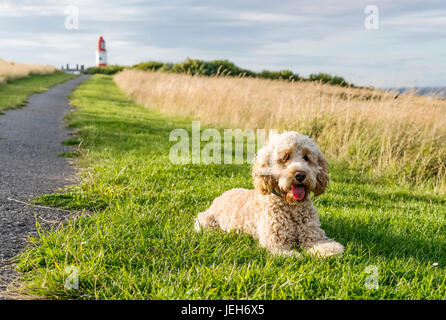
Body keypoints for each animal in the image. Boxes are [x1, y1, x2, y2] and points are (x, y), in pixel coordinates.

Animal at [193, 131, 344, 258]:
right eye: (285, 157)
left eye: (306, 157)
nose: (300, 175)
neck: (291, 206)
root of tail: (222, 195)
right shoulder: (274, 241)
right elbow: (286, 253)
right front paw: (295, 255)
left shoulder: (313, 235)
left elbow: (323, 245)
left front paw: (330, 251)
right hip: (205, 221)